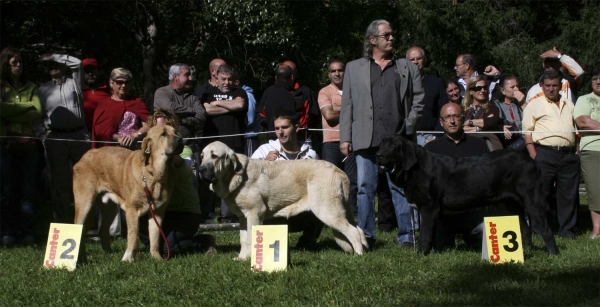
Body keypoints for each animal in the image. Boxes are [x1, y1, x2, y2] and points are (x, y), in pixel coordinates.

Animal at [72, 125, 182, 262]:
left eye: (176, 132)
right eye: (163, 134)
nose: (180, 140)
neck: (155, 174)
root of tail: (84, 157)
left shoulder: (158, 212)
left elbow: (155, 236)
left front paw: (156, 257)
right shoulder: (132, 210)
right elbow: (133, 235)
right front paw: (128, 258)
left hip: (109, 207)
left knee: (103, 229)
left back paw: (108, 253)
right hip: (85, 203)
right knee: (78, 228)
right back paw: (80, 258)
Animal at [199, 141, 368, 260]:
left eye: (214, 156)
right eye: (202, 156)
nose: (200, 169)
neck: (233, 176)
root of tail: (340, 172)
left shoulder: (254, 214)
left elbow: (251, 238)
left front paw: (251, 258)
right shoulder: (242, 218)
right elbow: (243, 239)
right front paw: (241, 258)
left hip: (327, 211)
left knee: (353, 231)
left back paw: (359, 254)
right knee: (359, 229)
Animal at [378, 136, 560, 256]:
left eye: (393, 145)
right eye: (381, 144)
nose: (378, 154)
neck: (414, 169)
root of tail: (530, 160)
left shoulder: (428, 208)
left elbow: (424, 234)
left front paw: (421, 254)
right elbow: (430, 233)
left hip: (532, 201)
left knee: (545, 229)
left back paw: (554, 254)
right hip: (513, 204)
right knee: (525, 228)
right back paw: (525, 251)